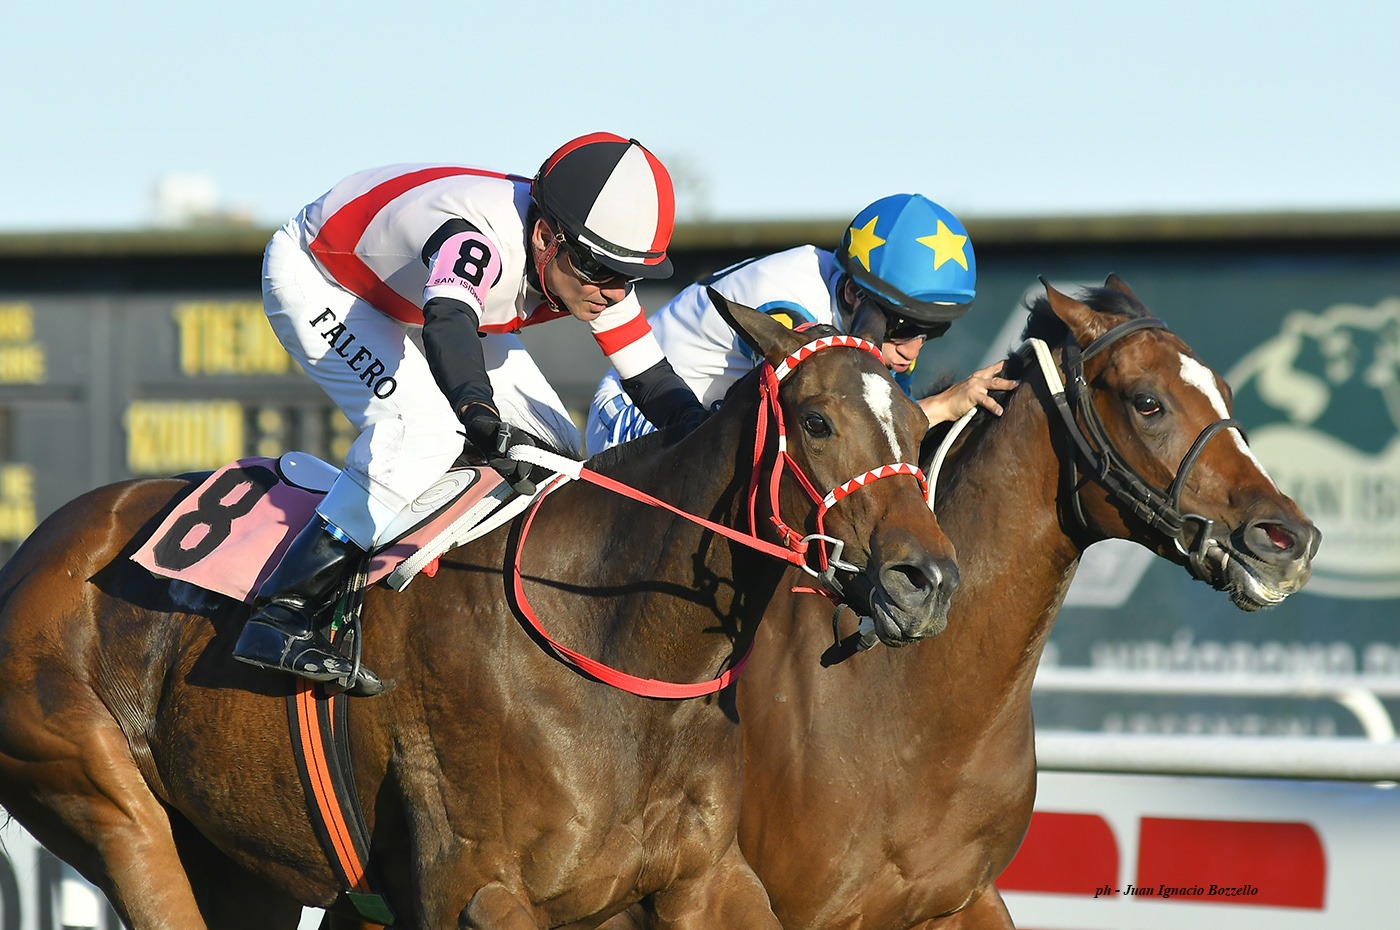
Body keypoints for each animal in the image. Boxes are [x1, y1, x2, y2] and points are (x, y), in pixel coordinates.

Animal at [0, 294, 958, 930]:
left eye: (918, 426)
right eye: (818, 421)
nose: (928, 581)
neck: (611, 649)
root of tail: (38, 549)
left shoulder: (707, 879)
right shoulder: (480, 890)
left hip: (241, 868)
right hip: (100, 795)